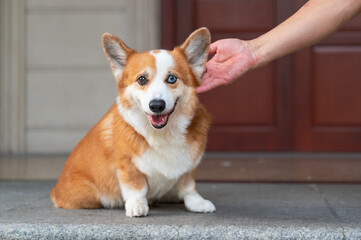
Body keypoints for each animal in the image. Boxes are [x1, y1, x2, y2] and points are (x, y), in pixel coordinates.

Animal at [49, 27, 215, 217]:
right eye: (142, 79)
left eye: (172, 79)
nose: (157, 105)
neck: (163, 133)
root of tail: (55, 190)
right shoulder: (127, 164)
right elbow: (136, 187)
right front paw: (137, 206)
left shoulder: (189, 165)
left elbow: (188, 186)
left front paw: (197, 203)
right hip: (90, 196)